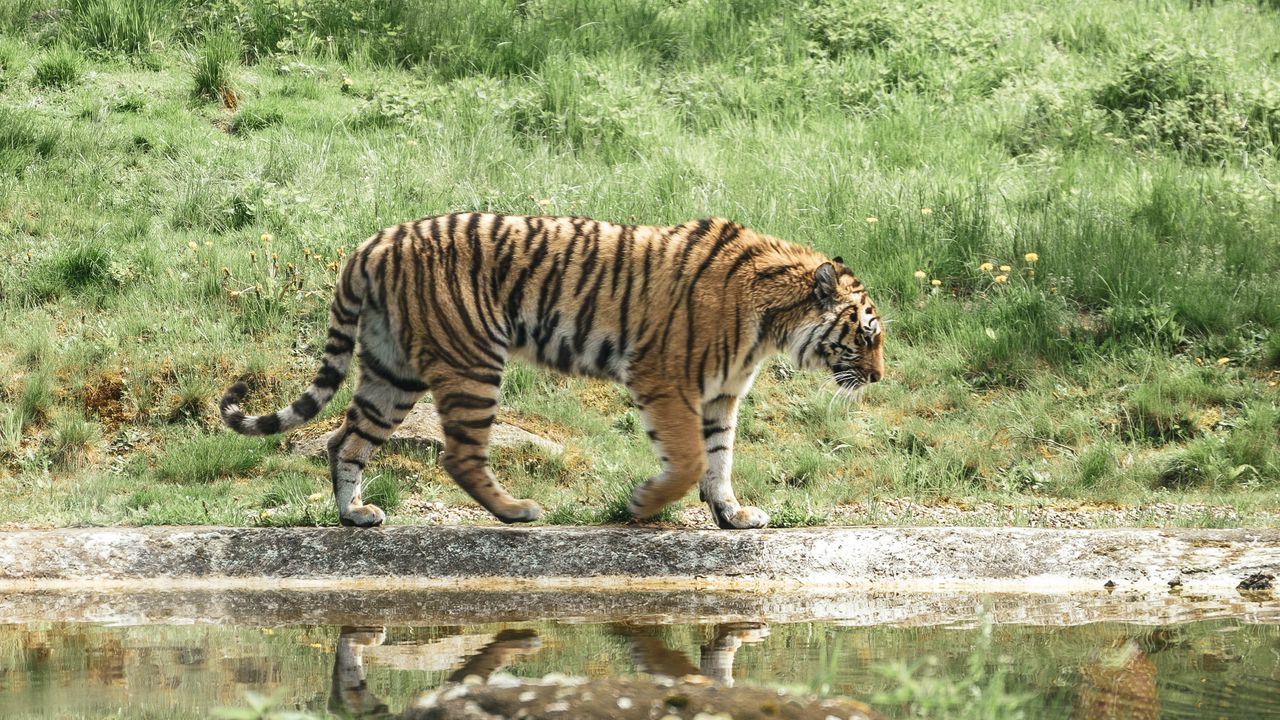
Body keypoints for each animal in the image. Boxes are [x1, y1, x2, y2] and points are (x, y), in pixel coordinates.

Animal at [220, 213, 884, 529]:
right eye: (867, 335)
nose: (879, 378)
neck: (771, 321)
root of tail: (373, 243)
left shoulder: (721, 397)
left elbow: (718, 461)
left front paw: (732, 517)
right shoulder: (664, 380)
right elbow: (691, 460)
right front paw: (643, 505)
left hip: (392, 368)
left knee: (345, 440)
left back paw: (354, 515)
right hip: (471, 363)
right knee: (458, 455)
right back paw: (517, 512)